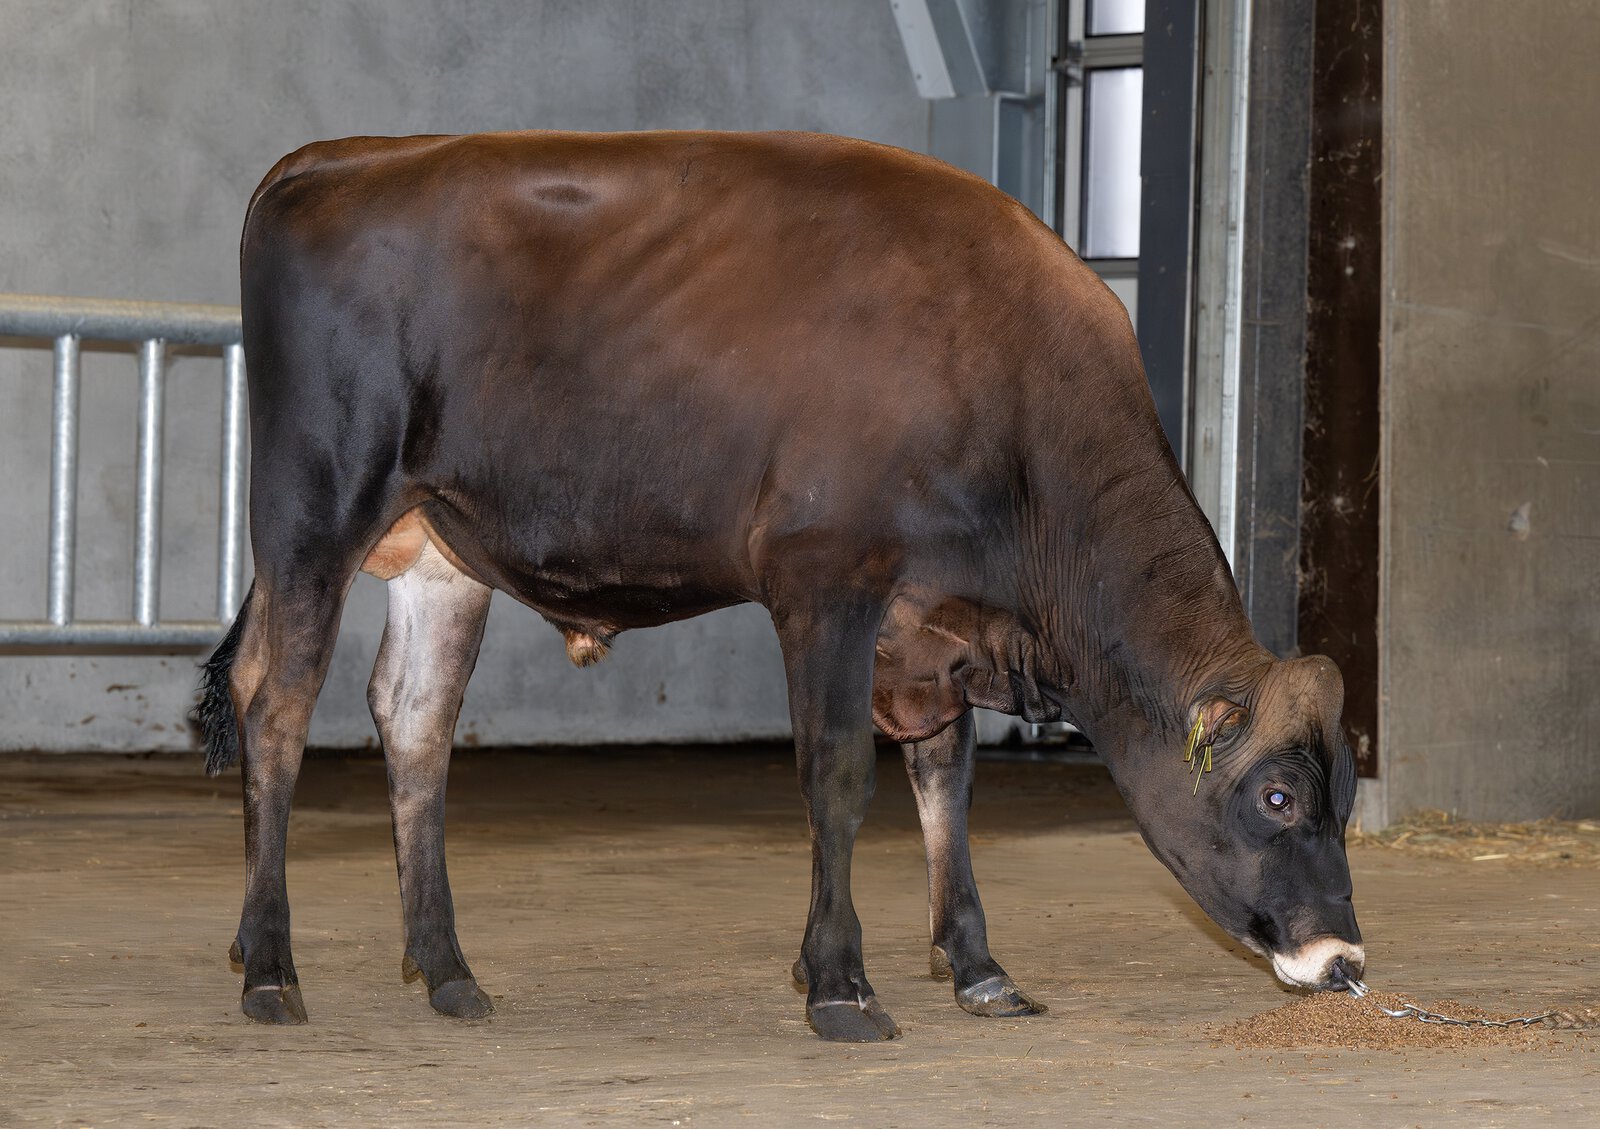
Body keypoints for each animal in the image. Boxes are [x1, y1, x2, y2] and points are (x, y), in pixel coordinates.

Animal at [194, 129, 1363, 1043]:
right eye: (1276, 795)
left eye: (1345, 793)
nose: (1345, 960)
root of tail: (338, 156)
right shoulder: (825, 579)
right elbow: (837, 775)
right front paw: (840, 983)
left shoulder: (932, 630)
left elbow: (944, 784)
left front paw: (977, 965)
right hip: (314, 507)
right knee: (277, 702)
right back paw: (271, 969)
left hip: (438, 550)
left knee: (414, 719)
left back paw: (442, 969)